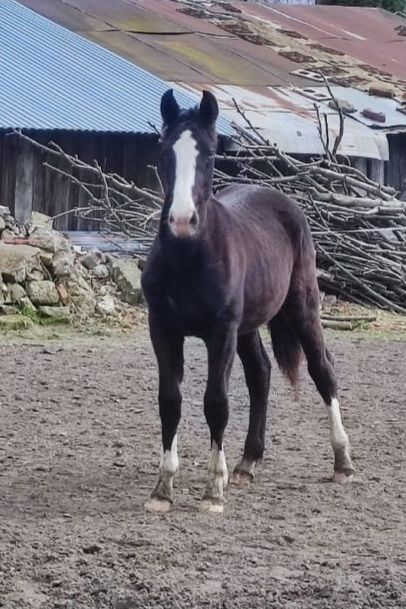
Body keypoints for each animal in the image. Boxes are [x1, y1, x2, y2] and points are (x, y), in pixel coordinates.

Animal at [140, 86, 356, 512]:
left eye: (209, 154)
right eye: (165, 152)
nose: (181, 221)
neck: (189, 256)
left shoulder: (220, 331)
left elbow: (216, 402)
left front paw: (213, 490)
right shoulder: (163, 329)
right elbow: (169, 399)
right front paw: (162, 489)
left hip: (302, 307)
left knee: (322, 369)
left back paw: (342, 460)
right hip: (248, 329)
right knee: (261, 374)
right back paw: (247, 462)